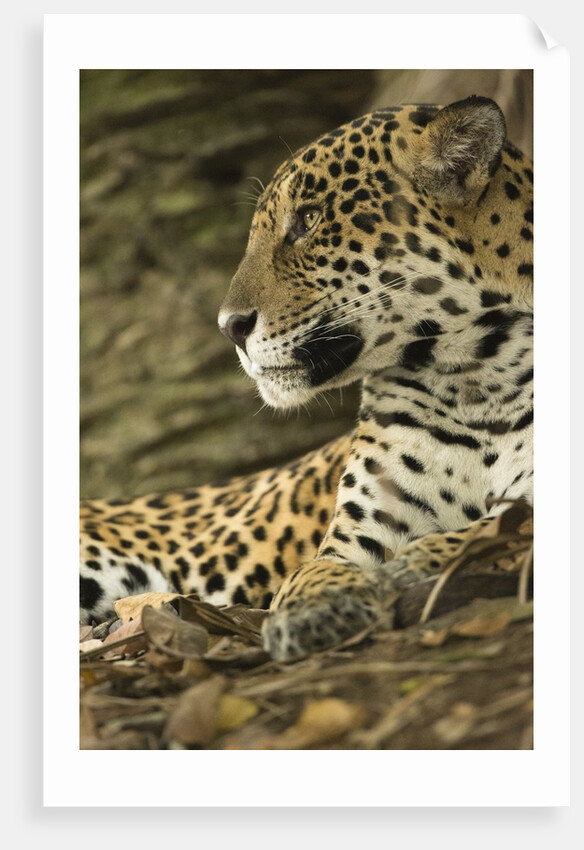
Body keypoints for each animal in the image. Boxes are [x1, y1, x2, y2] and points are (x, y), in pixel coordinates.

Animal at [80, 95, 533, 662]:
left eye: (310, 220)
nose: (229, 327)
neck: (476, 381)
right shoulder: (360, 530)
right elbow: (310, 571)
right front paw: (313, 610)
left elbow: (490, 529)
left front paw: (419, 563)